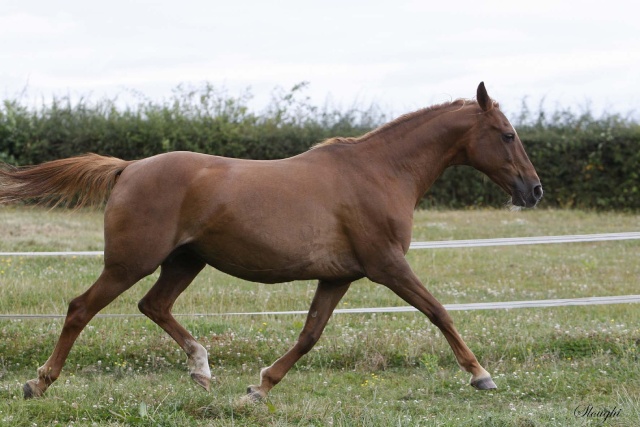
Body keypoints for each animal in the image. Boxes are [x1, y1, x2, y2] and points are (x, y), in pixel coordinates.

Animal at [0, 83, 540, 402]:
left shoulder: (339, 276)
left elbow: (310, 334)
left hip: (184, 262)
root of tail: (129, 167)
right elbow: (439, 312)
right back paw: (38, 382)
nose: (533, 190)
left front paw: (260, 386)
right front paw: (481, 374)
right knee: (80, 309)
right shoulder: (387, 265)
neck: (381, 172)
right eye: (507, 134)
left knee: (153, 306)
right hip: (131, 262)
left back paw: (202, 370)